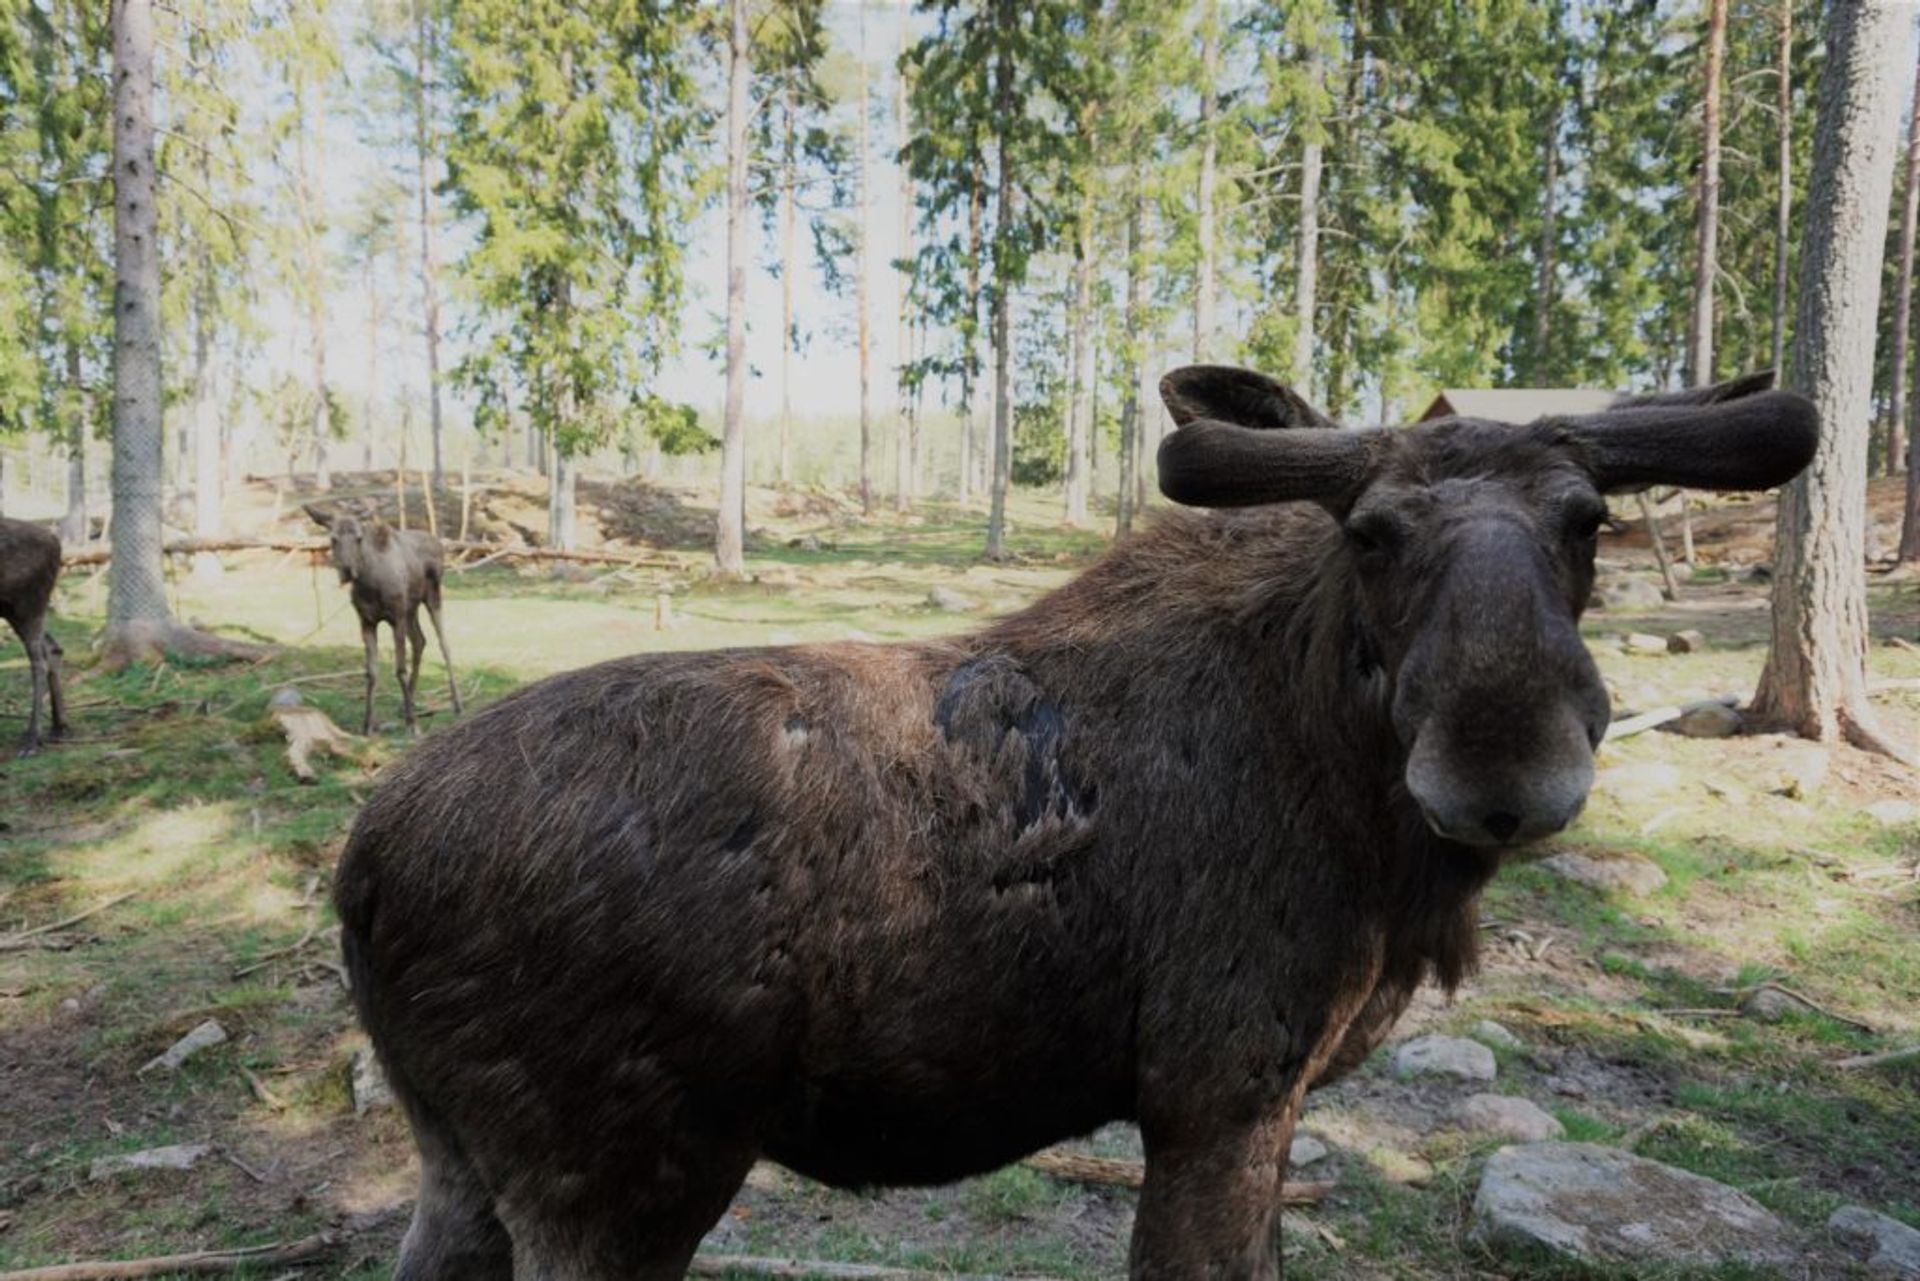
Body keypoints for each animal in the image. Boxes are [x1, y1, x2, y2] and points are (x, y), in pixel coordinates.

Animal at [0, 514, 68, 756]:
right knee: (53, 647)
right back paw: (59, 725)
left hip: (29, 603)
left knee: (39, 661)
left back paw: (32, 738)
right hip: (12, 609)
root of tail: (56, 542)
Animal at [305, 507, 462, 737]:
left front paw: (412, 724)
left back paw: (457, 703)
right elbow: (371, 672)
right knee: (420, 640)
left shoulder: (396, 618)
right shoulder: (366, 621)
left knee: (444, 645)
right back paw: (408, 703)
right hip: (411, 609)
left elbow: (400, 669)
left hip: (432, 597)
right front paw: (368, 725)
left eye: (359, 538)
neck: (369, 585)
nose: (347, 571)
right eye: (333, 539)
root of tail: (438, 541)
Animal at [337, 364, 1820, 1275]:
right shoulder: (1218, 1087)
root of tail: (356, 873)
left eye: (1587, 520)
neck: (1361, 821)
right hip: (617, 1176)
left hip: (459, 1160)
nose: (1505, 764)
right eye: (1373, 532)